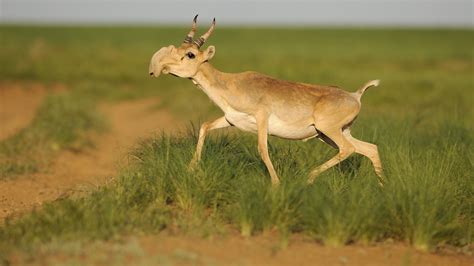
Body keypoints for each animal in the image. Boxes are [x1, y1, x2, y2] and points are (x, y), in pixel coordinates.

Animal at [149, 15, 386, 186]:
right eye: (178, 48)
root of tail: (355, 95)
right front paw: (191, 169)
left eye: (190, 54)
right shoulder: (231, 120)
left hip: (328, 131)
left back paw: (309, 178)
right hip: (330, 134)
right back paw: (382, 188)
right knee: (370, 148)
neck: (232, 83)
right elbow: (205, 126)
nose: (159, 67)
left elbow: (262, 148)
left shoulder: (262, 118)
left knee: (348, 149)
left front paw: (276, 184)